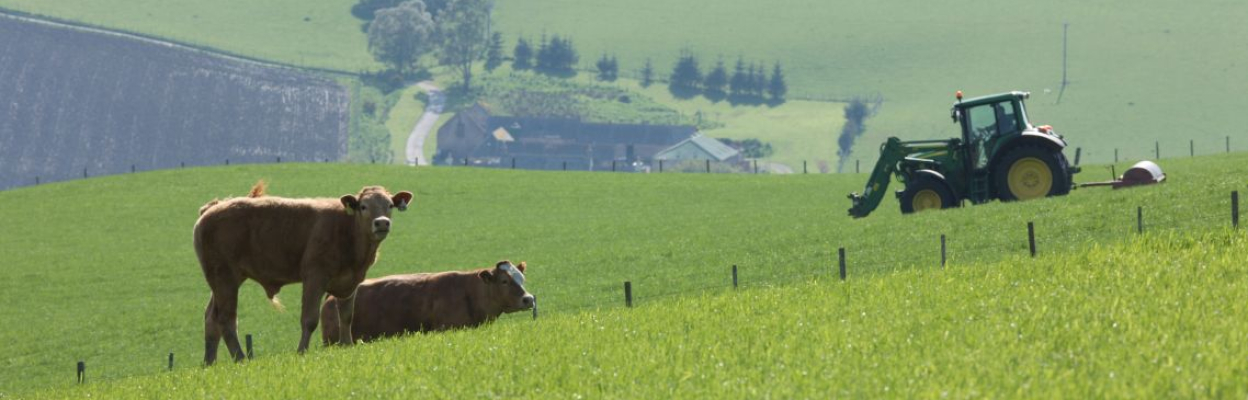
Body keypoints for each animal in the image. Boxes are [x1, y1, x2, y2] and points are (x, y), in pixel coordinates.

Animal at [194, 181, 413, 365]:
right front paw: (302, 352)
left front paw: (347, 345)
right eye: (363, 206)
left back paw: (209, 363)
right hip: (225, 277)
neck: (348, 230)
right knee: (226, 319)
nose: (382, 222)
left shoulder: (350, 282)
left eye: (389, 205)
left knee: (211, 318)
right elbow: (309, 319)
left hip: (223, 281)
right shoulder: (315, 277)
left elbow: (346, 316)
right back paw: (240, 359)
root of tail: (212, 208)